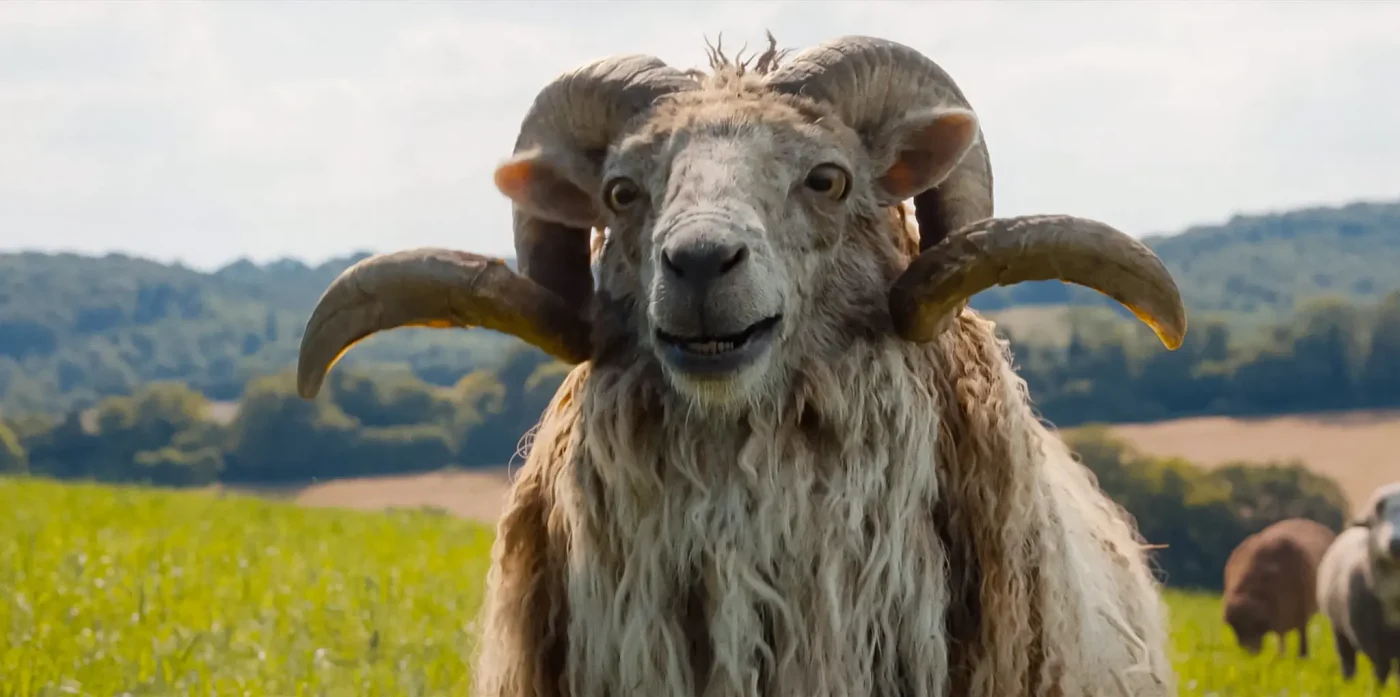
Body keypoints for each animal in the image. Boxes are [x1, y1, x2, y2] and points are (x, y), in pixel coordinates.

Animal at [1221, 517, 1337, 657]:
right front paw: (1280, 657)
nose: (1251, 653)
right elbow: (1281, 638)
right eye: (1236, 627)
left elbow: (1301, 637)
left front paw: (1301, 657)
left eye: (1256, 624)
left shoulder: (1300, 610)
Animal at [1316, 481, 1400, 687]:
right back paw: (1348, 685)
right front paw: (1379, 689)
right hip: (1339, 631)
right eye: (1377, 513)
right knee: (1348, 662)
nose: (1395, 544)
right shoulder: (1368, 633)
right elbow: (1381, 668)